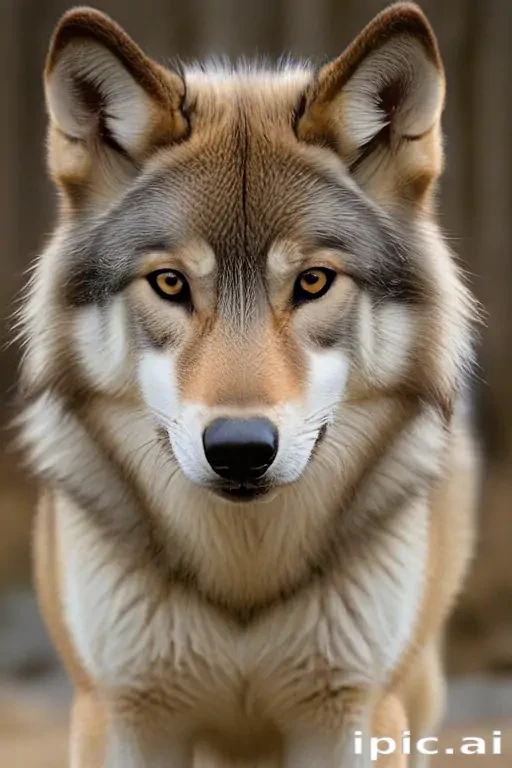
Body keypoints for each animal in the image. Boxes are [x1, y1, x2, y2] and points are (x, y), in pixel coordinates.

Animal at [18, 2, 479, 766]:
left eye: (313, 281)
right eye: (170, 283)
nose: (239, 449)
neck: (244, 575)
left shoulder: (352, 715)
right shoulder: (122, 715)